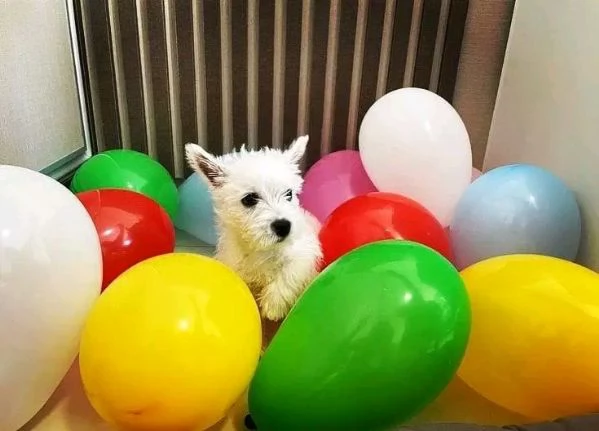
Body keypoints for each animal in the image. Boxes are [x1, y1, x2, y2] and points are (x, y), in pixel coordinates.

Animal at [185, 137, 324, 322]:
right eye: (249, 199)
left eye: (289, 194)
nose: (284, 226)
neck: (261, 248)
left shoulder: (303, 251)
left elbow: (291, 271)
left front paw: (273, 305)